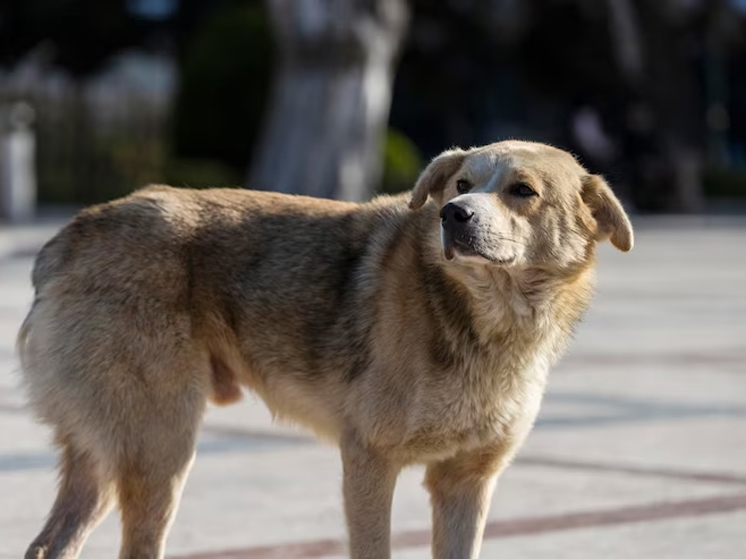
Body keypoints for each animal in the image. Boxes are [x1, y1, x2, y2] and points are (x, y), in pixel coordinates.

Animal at [18, 140, 628, 559]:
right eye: (460, 184)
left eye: (522, 191)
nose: (453, 215)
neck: (489, 318)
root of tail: (71, 235)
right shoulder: (368, 461)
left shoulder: (466, 483)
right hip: (159, 446)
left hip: (111, 454)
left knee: (48, 546)